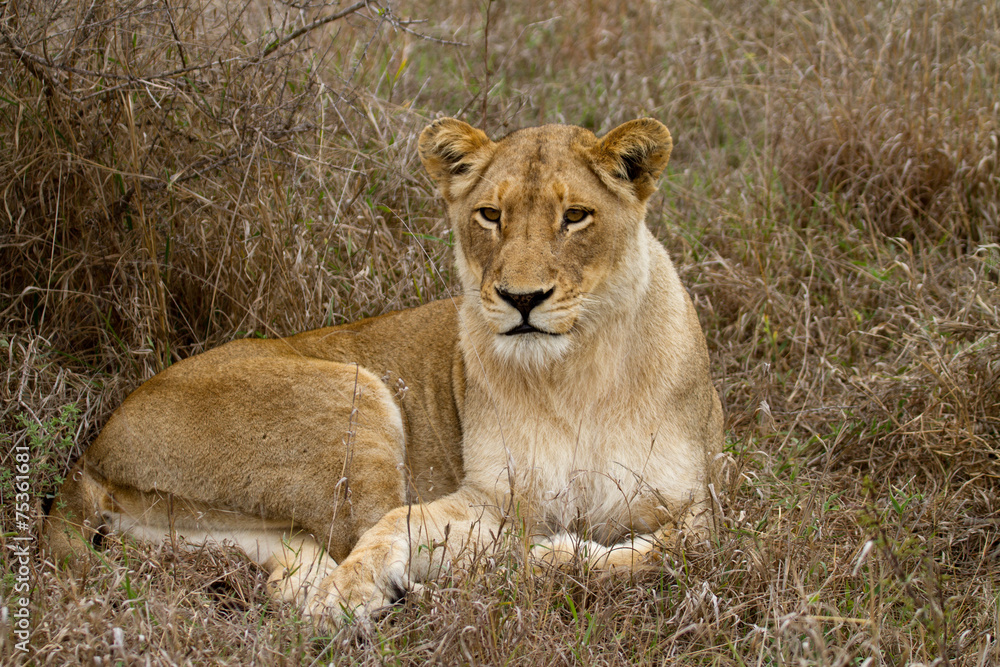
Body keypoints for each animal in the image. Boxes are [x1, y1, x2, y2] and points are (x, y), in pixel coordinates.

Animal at [46, 117, 724, 627]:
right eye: (489, 215)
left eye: (576, 216)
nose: (522, 299)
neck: (575, 374)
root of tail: (95, 447)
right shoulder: (491, 502)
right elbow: (402, 527)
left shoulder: (705, 503)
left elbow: (678, 550)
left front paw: (558, 556)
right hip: (352, 393)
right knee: (359, 538)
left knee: (294, 576)